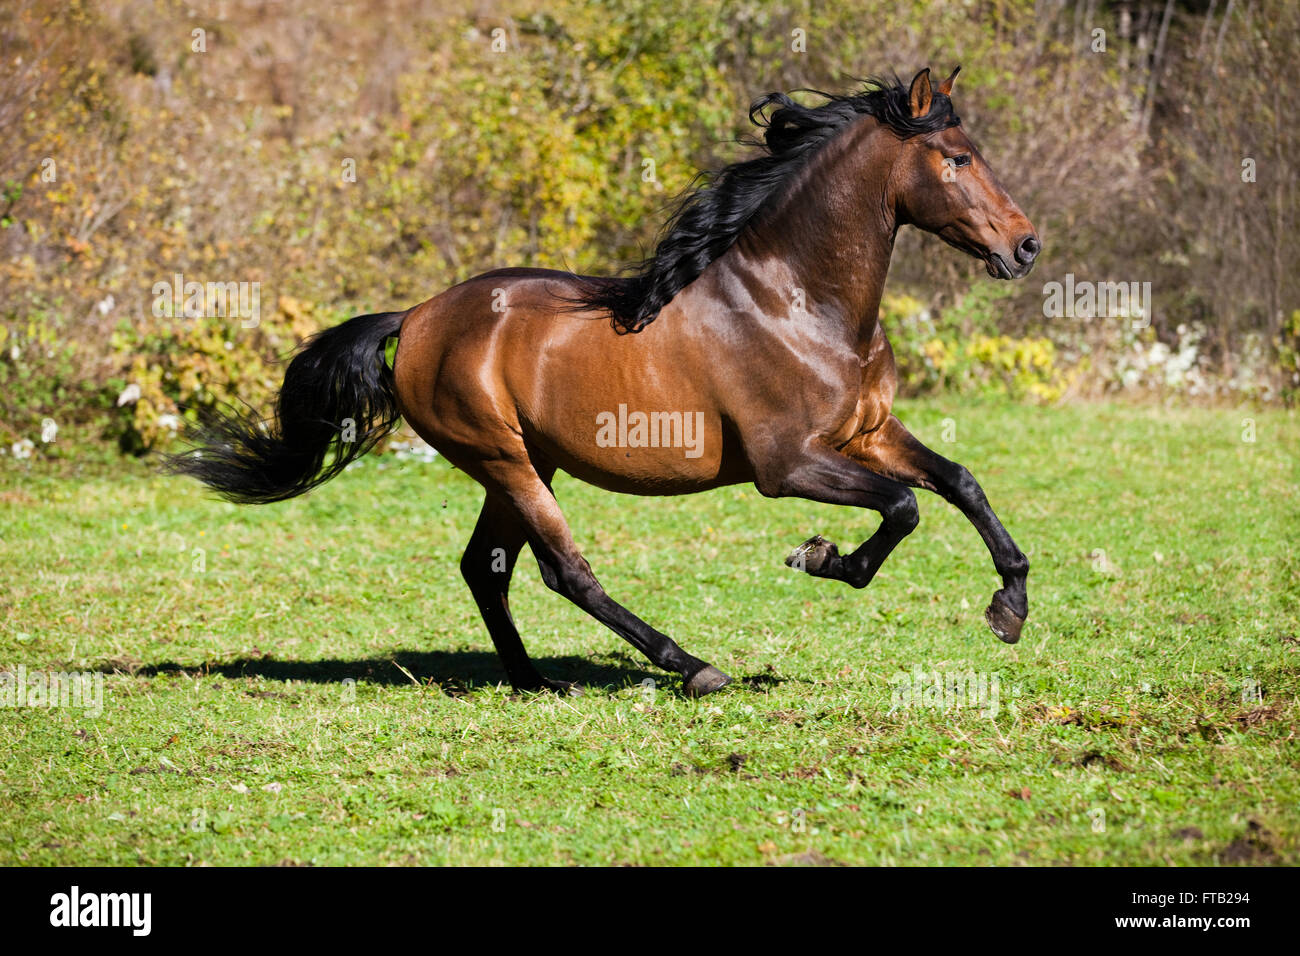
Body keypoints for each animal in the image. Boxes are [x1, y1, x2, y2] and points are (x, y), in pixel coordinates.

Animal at [175, 65, 1045, 697]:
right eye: (957, 158)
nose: (1027, 245)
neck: (799, 301)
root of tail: (415, 317)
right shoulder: (787, 464)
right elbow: (902, 508)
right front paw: (822, 557)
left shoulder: (868, 432)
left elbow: (958, 483)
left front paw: (1008, 609)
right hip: (504, 460)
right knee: (565, 571)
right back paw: (691, 667)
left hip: (526, 462)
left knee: (486, 567)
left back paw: (530, 679)